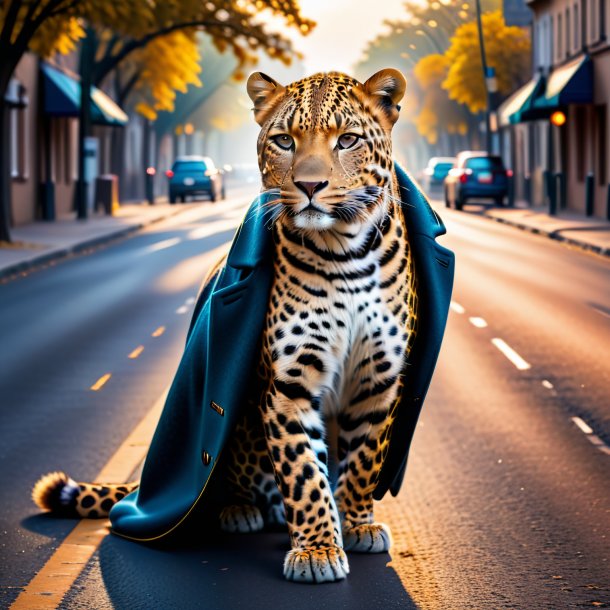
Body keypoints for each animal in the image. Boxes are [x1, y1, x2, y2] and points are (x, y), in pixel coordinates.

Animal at [32, 69, 418, 580]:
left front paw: (356, 524)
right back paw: (240, 510)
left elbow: (363, 461)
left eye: (348, 140)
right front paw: (317, 550)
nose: (310, 185)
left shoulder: (377, 379)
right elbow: (304, 474)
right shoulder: (289, 385)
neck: (346, 251)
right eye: (284, 140)